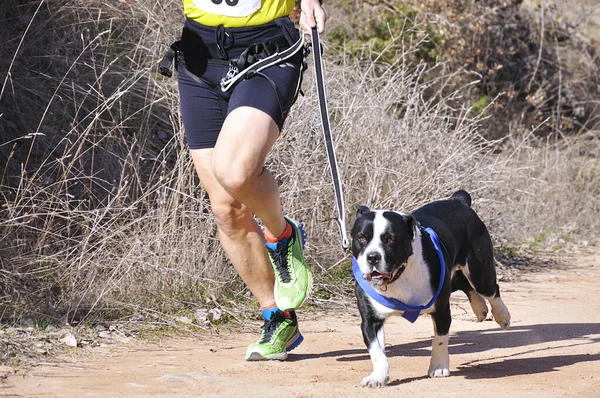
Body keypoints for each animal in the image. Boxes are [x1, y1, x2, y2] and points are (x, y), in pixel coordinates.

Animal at [352, 191, 510, 388]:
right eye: (361, 238)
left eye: (391, 240)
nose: (373, 256)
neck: (400, 275)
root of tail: (458, 201)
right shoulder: (371, 320)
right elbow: (376, 351)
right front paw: (378, 377)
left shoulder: (441, 310)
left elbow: (440, 340)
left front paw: (439, 367)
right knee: (464, 283)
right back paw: (480, 309)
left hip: (479, 271)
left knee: (491, 290)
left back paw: (502, 316)